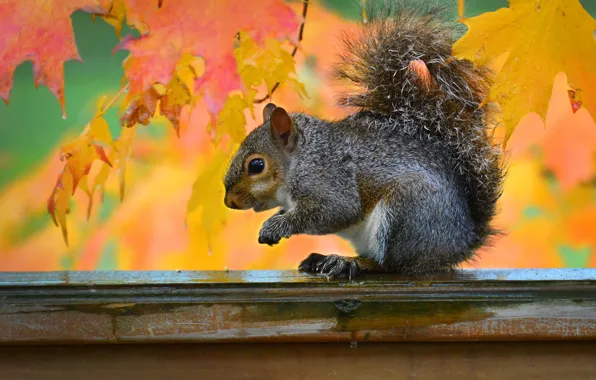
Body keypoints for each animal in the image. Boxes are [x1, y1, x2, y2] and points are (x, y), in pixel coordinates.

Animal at [222, 1, 502, 278]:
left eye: (256, 165)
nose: (229, 202)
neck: (302, 160)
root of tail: (461, 242)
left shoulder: (330, 182)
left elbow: (335, 211)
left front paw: (275, 226)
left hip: (406, 213)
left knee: (391, 265)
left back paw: (349, 262)